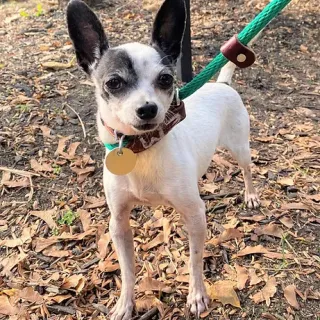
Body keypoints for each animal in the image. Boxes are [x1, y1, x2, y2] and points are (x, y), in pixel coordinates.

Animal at [67, 1, 260, 318]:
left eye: (166, 79)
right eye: (114, 82)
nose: (147, 109)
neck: (141, 150)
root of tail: (222, 84)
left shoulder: (195, 215)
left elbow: (195, 259)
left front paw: (197, 295)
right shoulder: (118, 223)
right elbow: (127, 270)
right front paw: (125, 303)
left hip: (239, 148)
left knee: (247, 169)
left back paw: (251, 195)